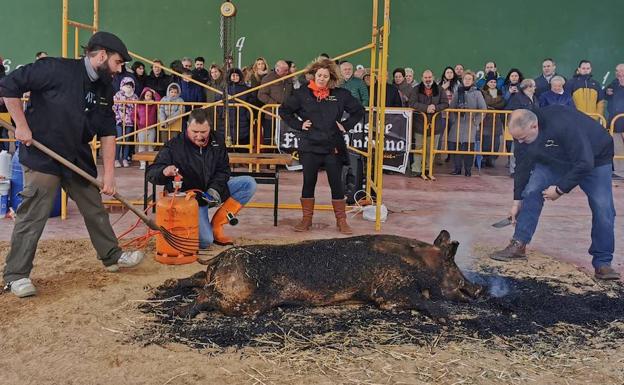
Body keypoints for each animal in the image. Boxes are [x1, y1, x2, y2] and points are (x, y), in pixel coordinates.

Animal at [165, 230, 482, 320]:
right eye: (453, 266)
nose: (479, 289)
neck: (420, 264)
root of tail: (221, 258)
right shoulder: (390, 291)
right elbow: (421, 300)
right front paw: (448, 319)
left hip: (218, 280)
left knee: (196, 277)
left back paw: (170, 282)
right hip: (244, 301)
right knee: (205, 294)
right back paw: (181, 312)